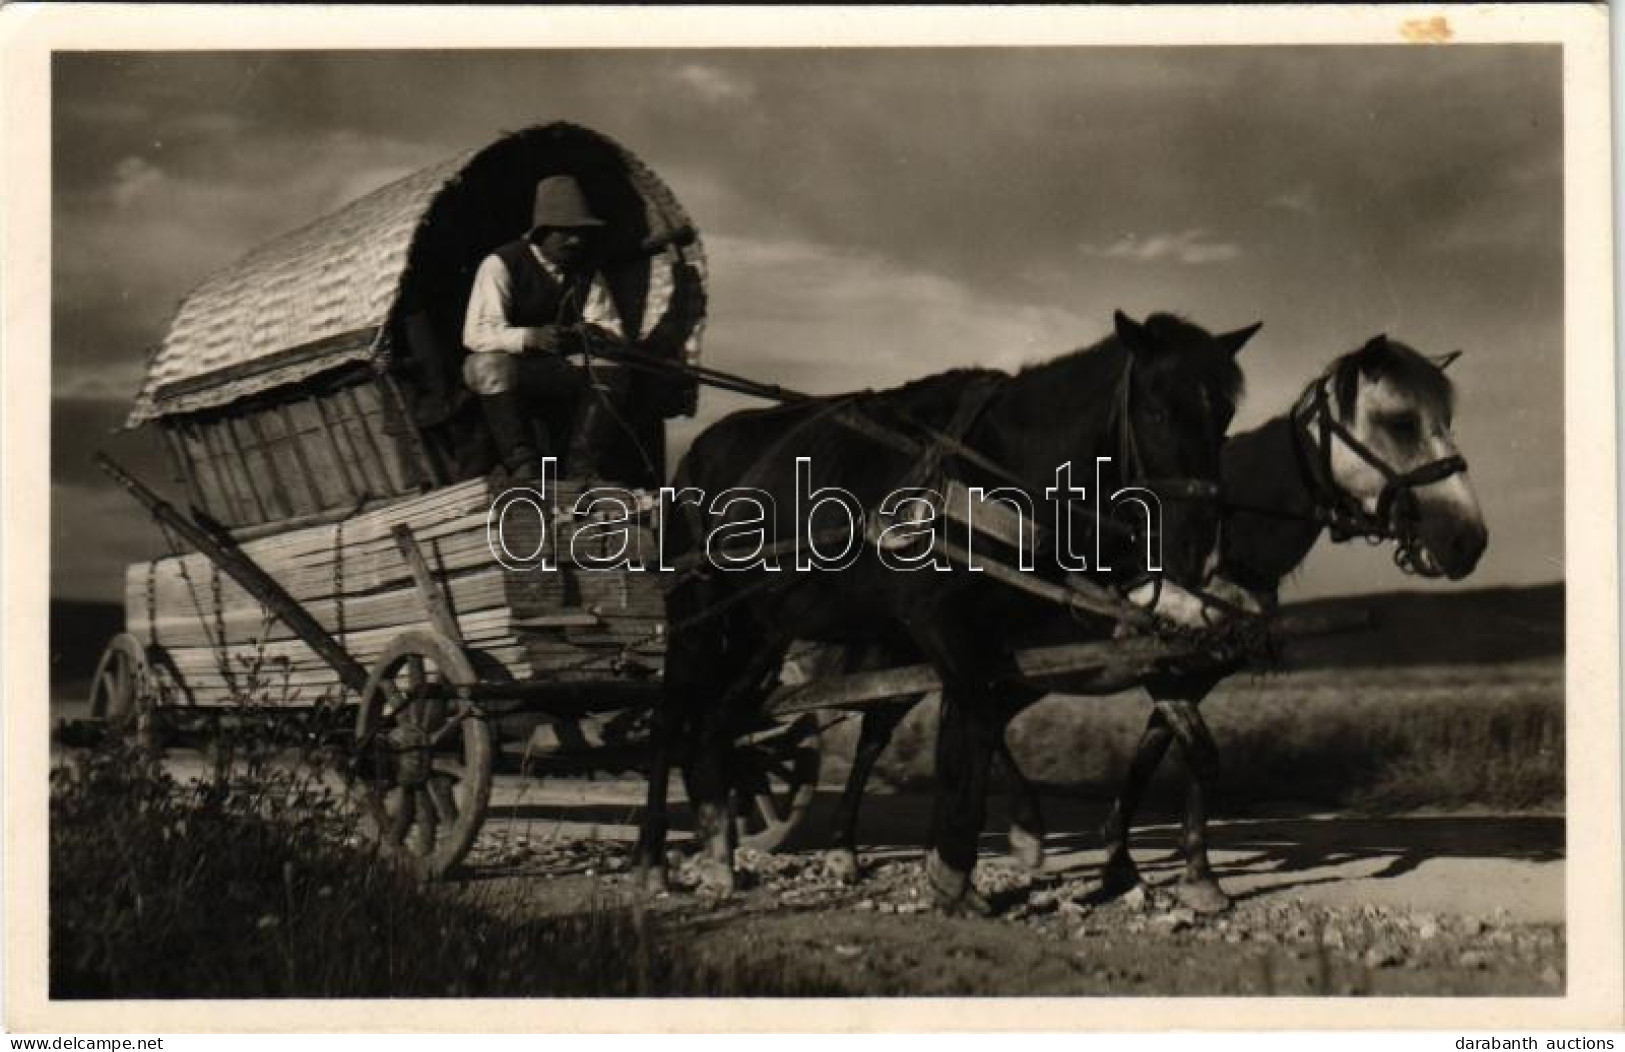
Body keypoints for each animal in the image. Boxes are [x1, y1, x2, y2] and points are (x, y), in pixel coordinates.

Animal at [825, 338, 1488, 910]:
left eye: (1447, 418)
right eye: (1400, 420)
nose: (1468, 540)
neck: (1220, 540)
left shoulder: (1190, 674)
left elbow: (1153, 761)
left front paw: (1134, 865)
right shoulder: (1160, 667)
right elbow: (1201, 756)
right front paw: (1187, 877)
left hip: (1008, 669)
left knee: (977, 726)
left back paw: (992, 837)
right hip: (914, 655)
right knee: (878, 733)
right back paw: (848, 850)